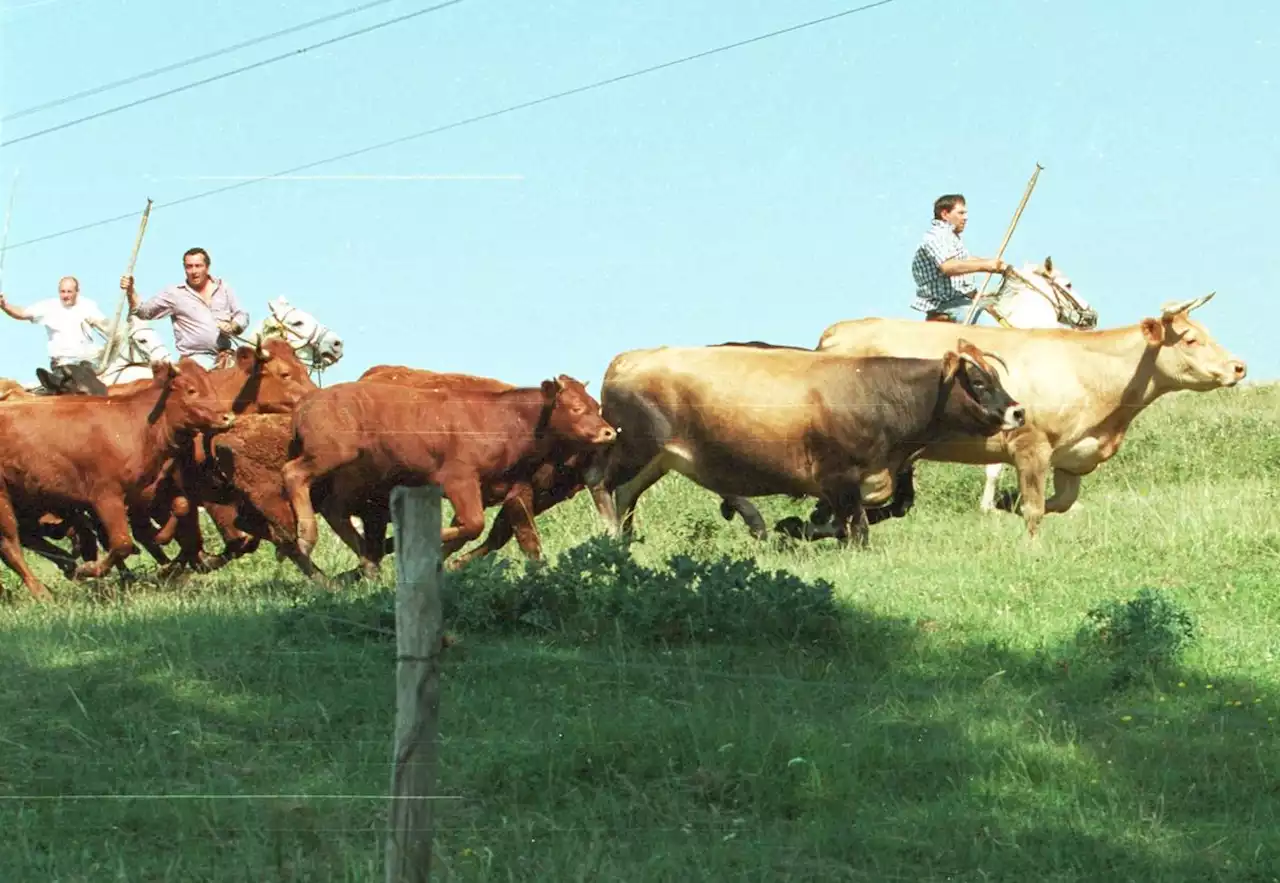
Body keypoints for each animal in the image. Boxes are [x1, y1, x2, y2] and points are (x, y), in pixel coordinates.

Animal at [0, 358, 235, 598]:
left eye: (210, 386)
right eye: (191, 389)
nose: (228, 417)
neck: (138, 425)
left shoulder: (139, 493)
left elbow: (177, 509)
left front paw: (163, 550)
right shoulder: (105, 497)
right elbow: (121, 542)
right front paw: (90, 569)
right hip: (4, 501)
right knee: (10, 546)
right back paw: (42, 593)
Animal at [281, 371, 619, 563]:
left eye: (595, 404)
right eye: (576, 408)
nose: (608, 432)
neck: (503, 420)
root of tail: (311, 399)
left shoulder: (512, 490)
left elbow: (523, 539)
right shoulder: (459, 479)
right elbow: (473, 526)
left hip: (356, 480)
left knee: (334, 511)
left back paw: (366, 560)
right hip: (332, 455)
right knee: (293, 474)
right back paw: (307, 537)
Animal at [814, 291, 1244, 532]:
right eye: (1189, 339)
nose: (1239, 366)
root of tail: (836, 332)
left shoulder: (1071, 459)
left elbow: (1058, 503)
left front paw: (1006, 507)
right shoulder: (1030, 444)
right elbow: (1035, 510)